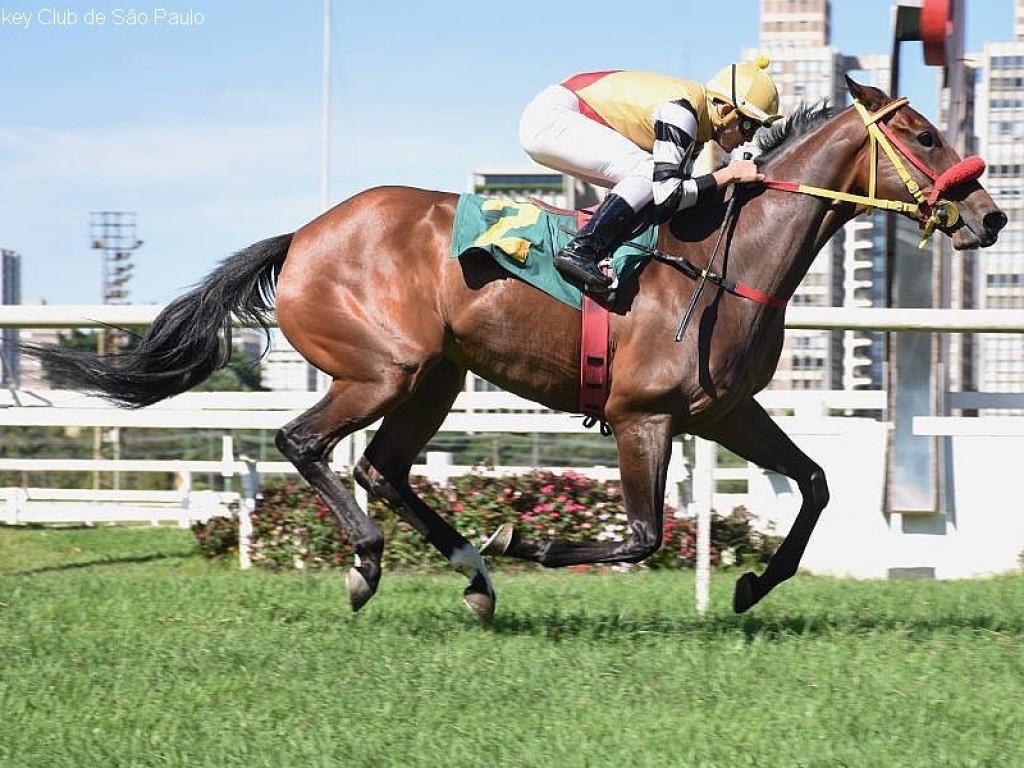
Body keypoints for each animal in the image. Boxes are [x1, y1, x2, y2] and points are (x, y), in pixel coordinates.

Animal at [29, 78, 999, 618]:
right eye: (921, 134)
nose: (989, 216)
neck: (732, 255)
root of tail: (303, 235)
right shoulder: (643, 416)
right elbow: (642, 535)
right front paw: (526, 543)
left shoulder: (724, 411)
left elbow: (818, 482)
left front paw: (756, 585)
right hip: (384, 368)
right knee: (305, 444)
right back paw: (374, 563)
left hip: (436, 377)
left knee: (381, 465)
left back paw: (470, 576)